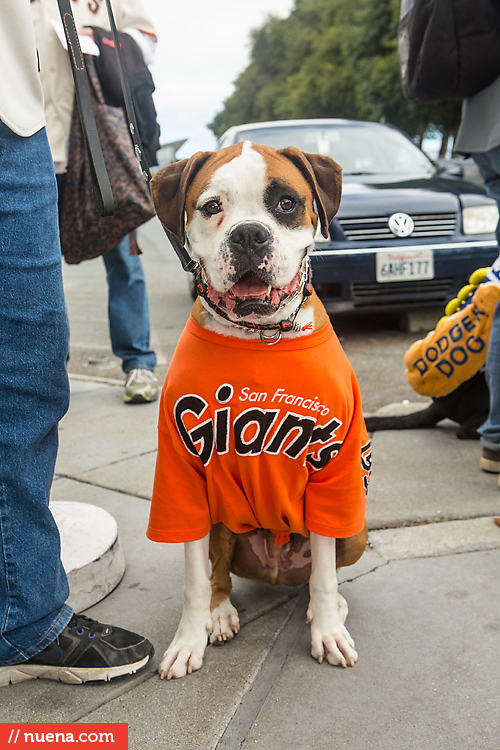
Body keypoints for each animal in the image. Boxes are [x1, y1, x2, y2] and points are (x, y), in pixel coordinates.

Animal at [148, 141, 372, 680]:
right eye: (212, 206)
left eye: (287, 203)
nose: (249, 234)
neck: (261, 335)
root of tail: (275, 572)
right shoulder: (184, 480)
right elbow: (193, 579)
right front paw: (187, 640)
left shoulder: (333, 469)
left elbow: (326, 576)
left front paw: (327, 631)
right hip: (219, 521)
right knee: (218, 573)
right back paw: (220, 613)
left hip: (356, 526)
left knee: (321, 572)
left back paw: (327, 609)